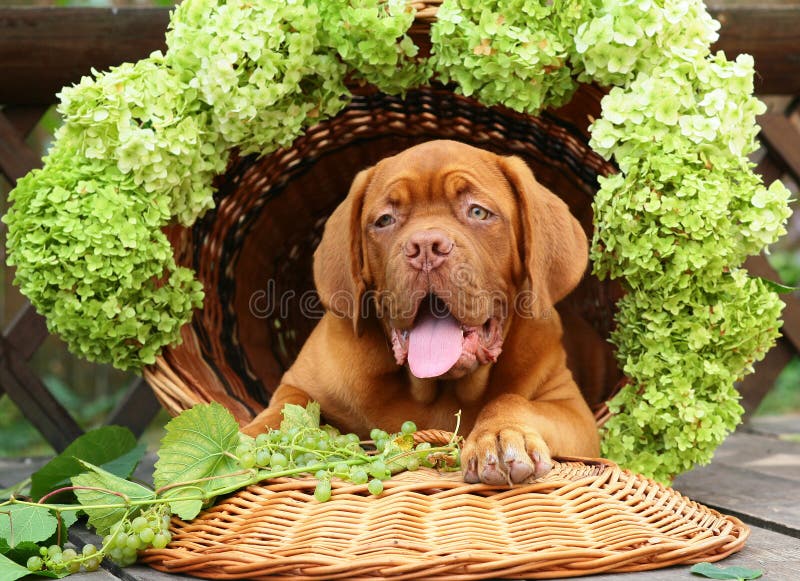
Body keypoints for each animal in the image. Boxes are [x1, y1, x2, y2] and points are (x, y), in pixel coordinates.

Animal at [244, 138, 600, 482]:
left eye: (478, 212)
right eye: (385, 220)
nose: (426, 247)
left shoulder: (572, 409)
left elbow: (513, 400)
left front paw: (500, 435)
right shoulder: (302, 384)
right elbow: (283, 410)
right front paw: (246, 443)